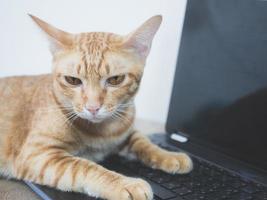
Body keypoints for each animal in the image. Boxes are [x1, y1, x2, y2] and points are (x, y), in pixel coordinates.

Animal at [0, 14, 194, 199]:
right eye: (73, 80)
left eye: (115, 80)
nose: (93, 108)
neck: (104, 131)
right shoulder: (38, 155)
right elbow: (84, 166)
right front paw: (126, 184)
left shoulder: (126, 132)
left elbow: (143, 141)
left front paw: (169, 155)